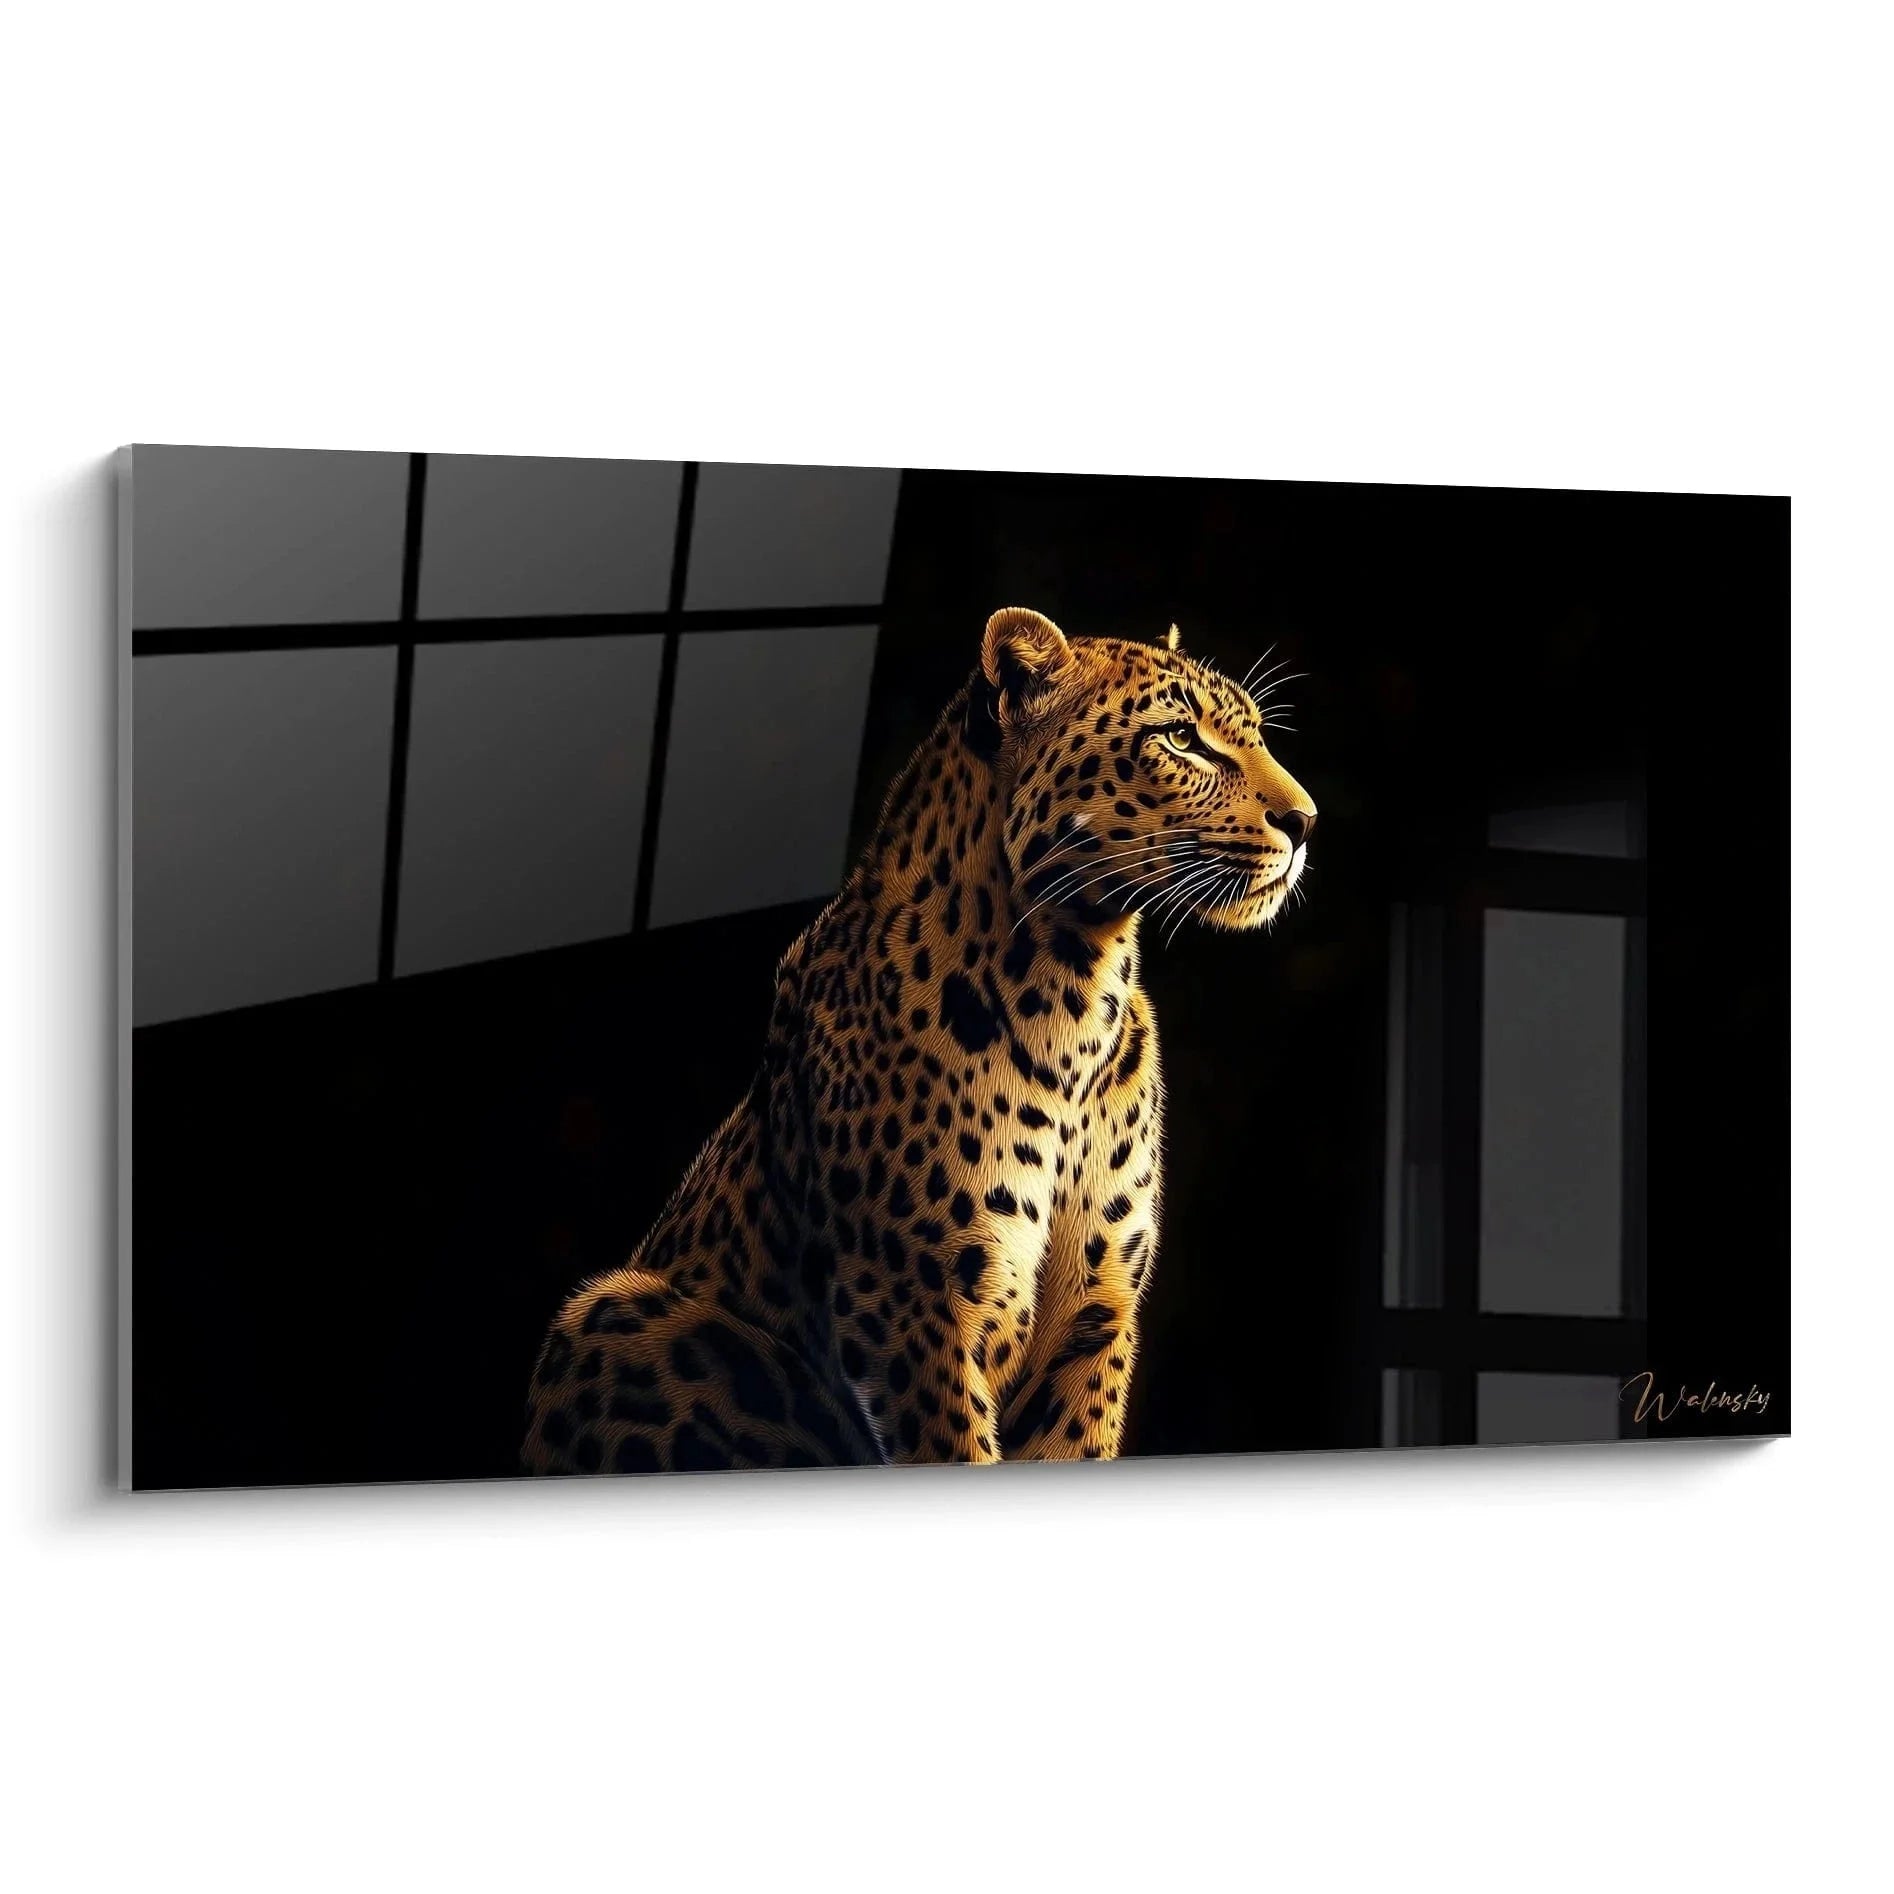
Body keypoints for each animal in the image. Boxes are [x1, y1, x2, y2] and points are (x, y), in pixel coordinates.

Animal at [522, 606, 1316, 1475]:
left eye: (1254, 733)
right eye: (1180, 737)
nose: (1306, 821)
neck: (1074, 986)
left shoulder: (1096, 1311)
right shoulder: (908, 1303)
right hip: (612, 1317)